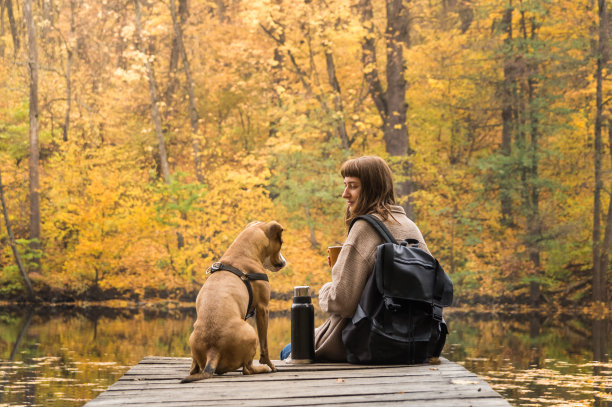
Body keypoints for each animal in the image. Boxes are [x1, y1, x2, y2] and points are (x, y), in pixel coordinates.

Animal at [182, 220, 286, 382]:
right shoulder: (263, 308)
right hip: (252, 334)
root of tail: (213, 350)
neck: (241, 254)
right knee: (248, 369)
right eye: (281, 243)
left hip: (193, 339)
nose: (283, 263)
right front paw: (270, 365)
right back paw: (262, 368)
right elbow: (265, 346)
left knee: (193, 368)